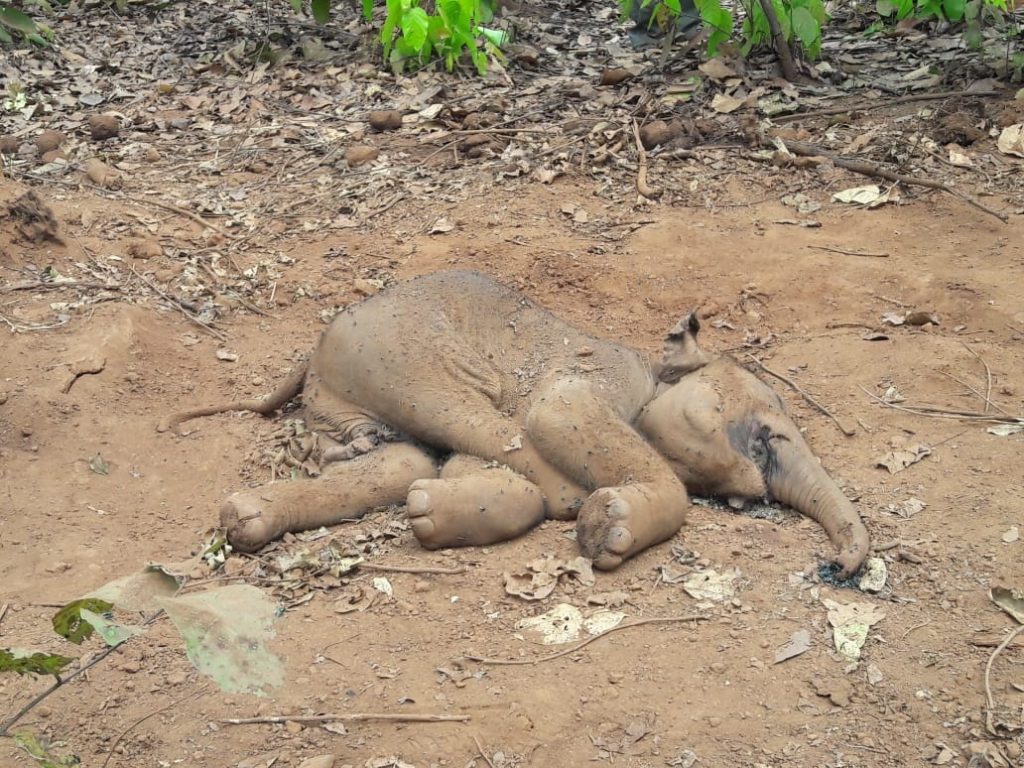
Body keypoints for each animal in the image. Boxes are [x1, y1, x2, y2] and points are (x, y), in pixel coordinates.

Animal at [161, 270, 872, 577]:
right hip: (406, 357)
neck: (650, 365)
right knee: (465, 421)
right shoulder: (594, 382)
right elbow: (554, 418)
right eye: (766, 436)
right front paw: (605, 528)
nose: (834, 567)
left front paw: (435, 511)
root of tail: (312, 350)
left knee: (400, 458)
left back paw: (247, 518)